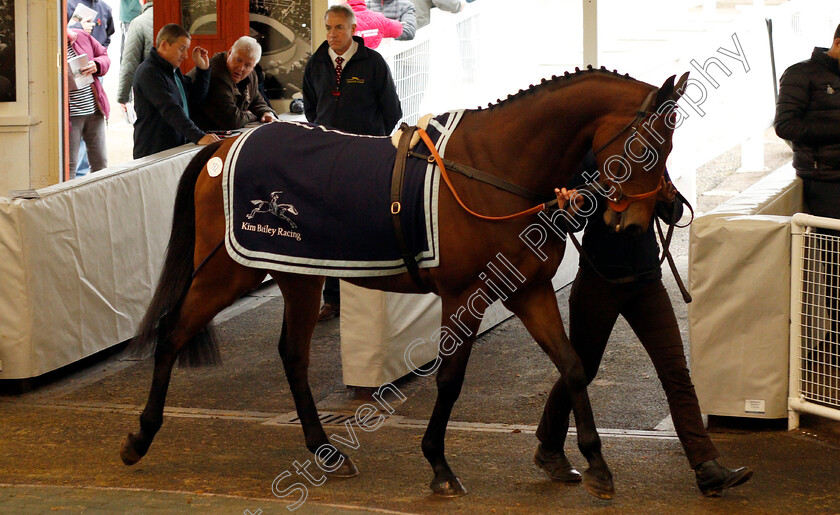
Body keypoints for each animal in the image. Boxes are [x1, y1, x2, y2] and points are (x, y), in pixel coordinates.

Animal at [121, 67, 692, 500]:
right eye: (650, 141)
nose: (639, 221)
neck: (493, 169)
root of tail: (224, 144)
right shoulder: (465, 296)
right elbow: (450, 380)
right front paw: (439, 465)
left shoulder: (528, 292)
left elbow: (573, 366)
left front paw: (593, 463)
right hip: (226, 271)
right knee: (173, 335)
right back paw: (140, 438)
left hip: (296, 277)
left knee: (293, 356)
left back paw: (326, 452)